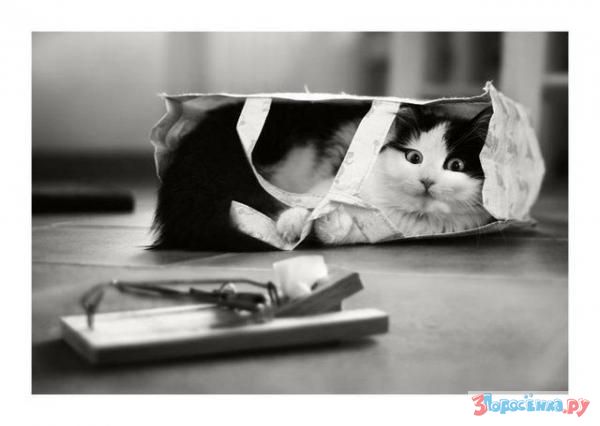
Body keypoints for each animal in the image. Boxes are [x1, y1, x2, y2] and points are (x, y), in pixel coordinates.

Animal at [274, 104, 495, 244]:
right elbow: (312, 201)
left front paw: (329, 217)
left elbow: (334, 233)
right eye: (414, 157)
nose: (427, 180)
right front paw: (292, 223)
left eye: (456, 165)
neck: (411, 216)